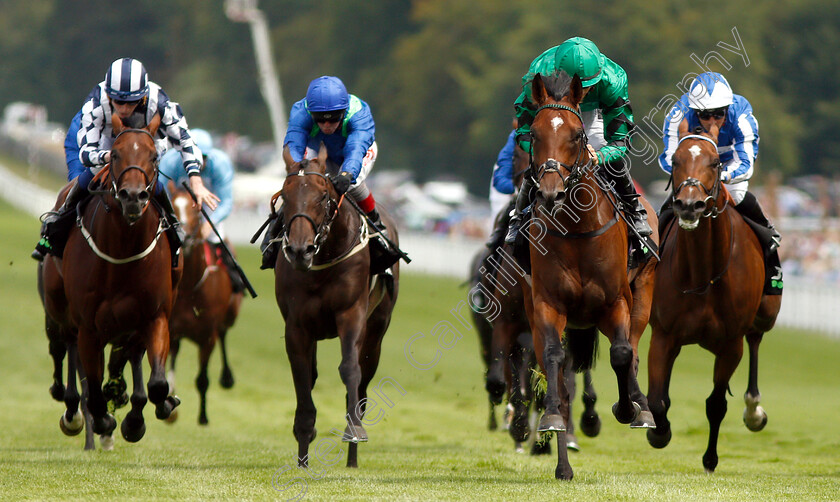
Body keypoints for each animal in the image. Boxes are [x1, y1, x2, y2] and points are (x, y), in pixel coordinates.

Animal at [42, 114, 180, 448]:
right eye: (115, 154)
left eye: (154, 156)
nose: (133, 197)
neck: (123, 249)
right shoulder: (89, 325)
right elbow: (91, 385)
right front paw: (103, 419)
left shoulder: (154, 316)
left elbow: (157, 383)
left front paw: (139, 418)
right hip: (59, 309)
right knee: (62, 346)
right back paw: (72, 411)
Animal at [166, 184, 241, 424]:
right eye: (172, 204)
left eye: (196, 210)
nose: (184, 236)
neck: (190, 286)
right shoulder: (172, 329)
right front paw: (171, 409)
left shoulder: (208, 336)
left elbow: (202, 379)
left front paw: (203, 417)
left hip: (230, 316)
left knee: (224, 333)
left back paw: (227, 377)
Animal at [272, 143, 398, 468]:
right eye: (285, 196)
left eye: (321, 196)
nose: (299, 250)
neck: (324, 256)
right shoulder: (297, 325)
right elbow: (303, 376)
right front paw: (303, 454)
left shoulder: (351, 314)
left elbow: (350, 369)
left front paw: (354, 430)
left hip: (376, 333)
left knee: (363, 382)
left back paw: (353, 458)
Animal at [520, 70, 660, 478]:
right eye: (535, 134)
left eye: (576, 135)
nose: (550, 193)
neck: (576, 230)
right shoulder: (547, 304)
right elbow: (555, 362)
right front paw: (552, 421)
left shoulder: (615, 302)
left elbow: (622, 354)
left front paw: (630, 408)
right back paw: (563, 464)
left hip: (642, 295)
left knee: (633, 351)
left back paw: (641, 407)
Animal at [648, 125, 780, 470]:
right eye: (676, 160)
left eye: (714, 162)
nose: (689, 205)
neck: (703, 275)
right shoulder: (663, 333)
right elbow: (657, 399)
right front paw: (659, 432)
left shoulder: (731, 344)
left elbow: (716, 404)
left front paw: (710, 458)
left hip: (766, 313)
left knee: (756, 339)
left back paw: (753, 410)